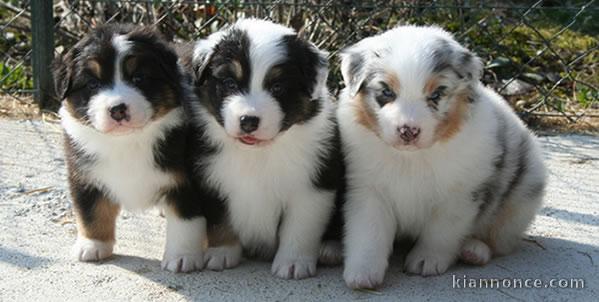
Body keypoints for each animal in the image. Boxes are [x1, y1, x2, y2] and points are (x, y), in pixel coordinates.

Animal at [55, 24, 207, 274]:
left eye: (139, 78)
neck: (127, 141)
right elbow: (90, 211)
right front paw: (92, 246)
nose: (117, 109)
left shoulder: (188, 181)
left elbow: (185, 222)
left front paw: (182, 257)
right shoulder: (83, 173)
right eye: (93, 84)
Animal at [180, 18, 344, 278]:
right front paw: (222, 253)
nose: (248, 121)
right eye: (229, 83)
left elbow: (300, 228)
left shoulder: (312, 186)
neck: (257, 153)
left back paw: (330, 250)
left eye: (277, 87)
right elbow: (220, 220)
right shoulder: (211, 181)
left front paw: (293, 263)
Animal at [338, 26, 548, 288]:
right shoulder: (367, 190)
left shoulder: (460, 194)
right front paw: (362, 273)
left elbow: (441, 232)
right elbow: (368, 232)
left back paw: (474, 251)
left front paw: (426, 260)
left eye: (437, 94)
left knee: (499, 240)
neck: (411, 159)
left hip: (521, 199)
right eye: (386, 92)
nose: (408, 131)